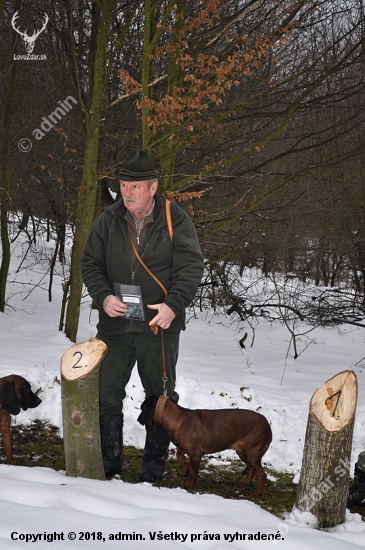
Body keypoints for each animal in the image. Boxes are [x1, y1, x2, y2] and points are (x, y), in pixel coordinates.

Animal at [138, 396, 272, 496]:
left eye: (142, 409)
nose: (138, 420)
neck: (178, 420)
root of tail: (267, 425)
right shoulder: (184, 448)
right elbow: (179, 457)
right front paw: (185, 468)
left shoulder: (195, 454)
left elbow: (193, 472)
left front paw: (188, 485)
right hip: (243, 452)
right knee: (252, 469)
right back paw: (246, 482)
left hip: (251, 453)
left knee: (262, 474)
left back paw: (256, 494)